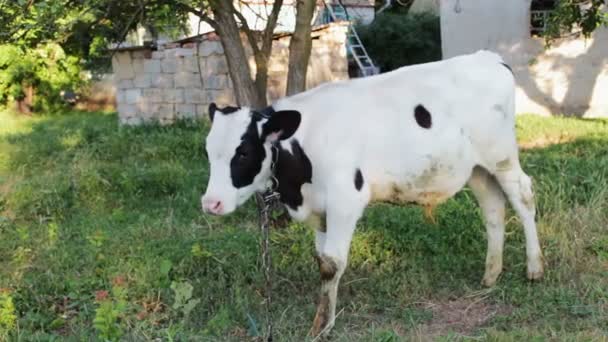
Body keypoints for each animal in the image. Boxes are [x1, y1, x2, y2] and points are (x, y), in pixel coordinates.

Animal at [202, 50, 544, 336]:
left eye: (243, 152)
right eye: (208, 151)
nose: (211, 203)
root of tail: (488, 57)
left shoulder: (345, 199)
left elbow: (331, 263)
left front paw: (320, 327)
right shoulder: (320, 210)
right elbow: (322, 260)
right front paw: (327, 319)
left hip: (501, 157)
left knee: (523, 197)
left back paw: (534, 268)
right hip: (477, 169)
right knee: (493, 207)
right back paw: (491, 275)